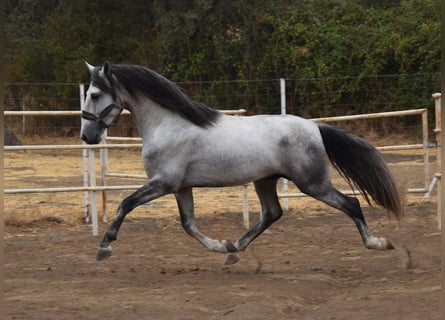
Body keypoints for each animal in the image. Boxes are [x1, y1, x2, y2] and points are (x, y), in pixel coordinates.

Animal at [80, 61, 402, 264]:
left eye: (95, 94)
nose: (87, 136)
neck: (169, 124)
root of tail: (315, 127)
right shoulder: (181, 187)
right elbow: (188, 224)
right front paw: (220, 245)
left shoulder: (163, 183)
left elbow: (126, 203)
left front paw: (104, 246)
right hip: (266, 180)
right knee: (272, 213)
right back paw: (235, 250)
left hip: (313, 183)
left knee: (352, 204)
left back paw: (379, 243)